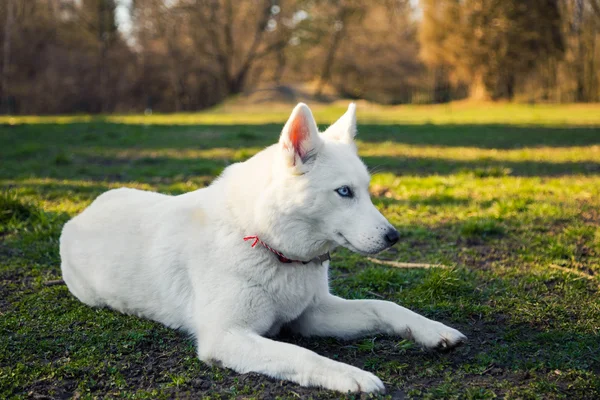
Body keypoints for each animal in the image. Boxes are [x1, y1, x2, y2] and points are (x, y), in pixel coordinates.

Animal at [59, 103, 464, 394]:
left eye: (365, 191)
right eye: (344, 192)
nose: (393, 237)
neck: (266, 241)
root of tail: (83, 213)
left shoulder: (312, 314)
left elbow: (384, 306)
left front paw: (431, 330)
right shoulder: (227, 336)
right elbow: (302, 354)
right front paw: (350, 375)